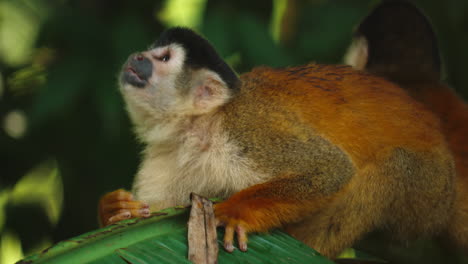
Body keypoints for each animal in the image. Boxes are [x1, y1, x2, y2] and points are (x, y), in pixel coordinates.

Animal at [98, 25, 454, 256]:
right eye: (150, 53)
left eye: (163, 58)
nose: (138, 56)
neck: (198, 131)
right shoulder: (166, 156)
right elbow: (153, 211)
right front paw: (115, 210)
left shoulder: (248, 128)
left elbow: (329, 169)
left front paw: (236, 211)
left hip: (431, 193)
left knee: (394, 166)